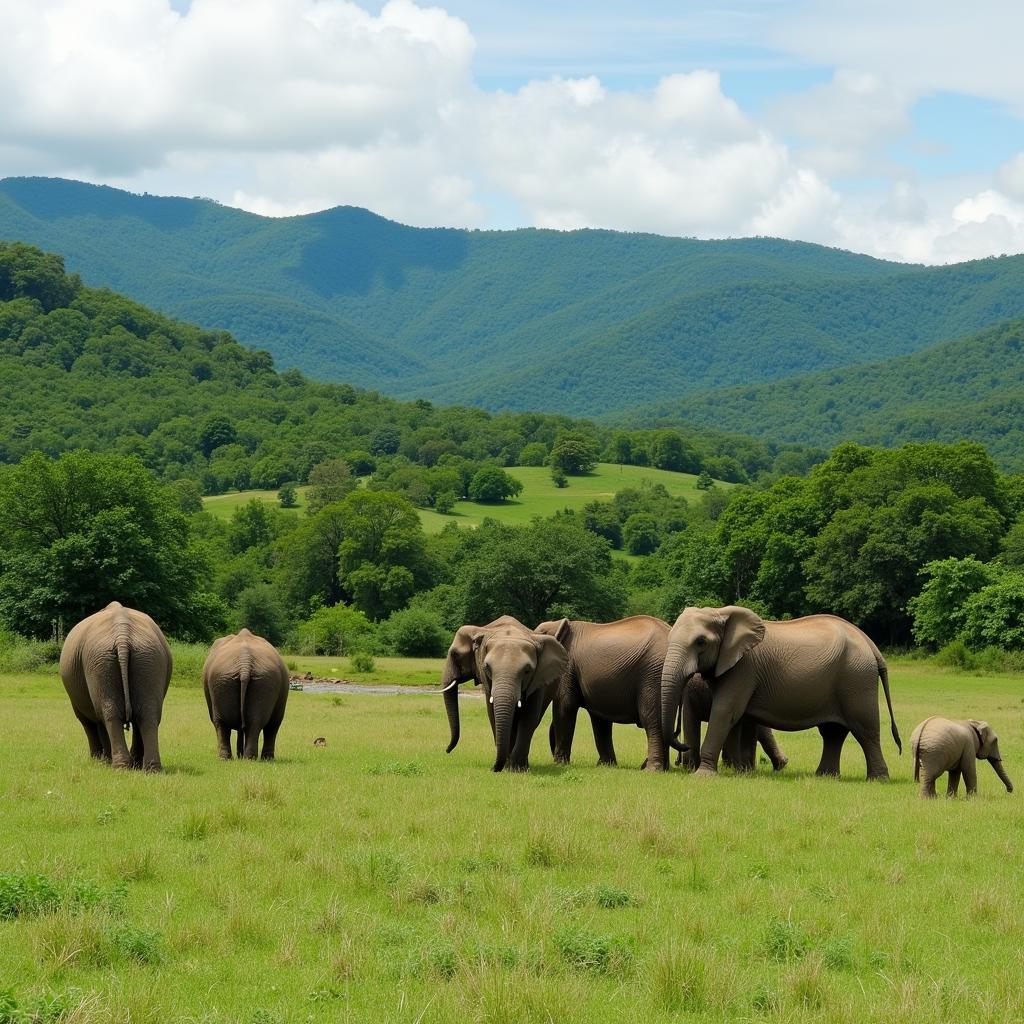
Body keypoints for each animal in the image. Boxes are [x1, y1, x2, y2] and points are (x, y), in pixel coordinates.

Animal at [59, 598, 172, 770]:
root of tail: (122, 635)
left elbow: (89, 721)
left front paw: (99, 760)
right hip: (148, 658)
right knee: (148, 712)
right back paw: (149, 768)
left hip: (100, 661)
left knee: (106, 714)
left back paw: (120, 765)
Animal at [201, 622, 288, 761]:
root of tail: (245, 664)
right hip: (231, 680)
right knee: (257, 723)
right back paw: (245, 758)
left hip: (255, 681)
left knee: (223, 722)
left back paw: (240, 758)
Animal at [440, 610, 569, 770]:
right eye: (487, 668)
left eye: (527, 671)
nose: (447, 750)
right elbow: (493, 715)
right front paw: (508, 767)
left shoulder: (539, 678)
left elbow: (529, 717)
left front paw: (517, 769)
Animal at [528, 614, 688, 770]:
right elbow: (600, 719)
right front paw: (605, 765)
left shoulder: (567, 668)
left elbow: (565, 707)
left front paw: (560, 764)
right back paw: (659, 768)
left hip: (653, 674)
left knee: (651, 719)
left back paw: (651, 769)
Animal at [659, 602, 901, 778]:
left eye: (701, 642)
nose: (680, 749)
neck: (721, 613)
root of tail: (870, 645)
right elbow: (734, 717)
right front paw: (739, 773)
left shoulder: (744, 668)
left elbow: (725, 711)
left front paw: (703, 776)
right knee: (833, 732)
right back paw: (825, 777)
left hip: (856, 678)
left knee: (865, 729)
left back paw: (878, 779)